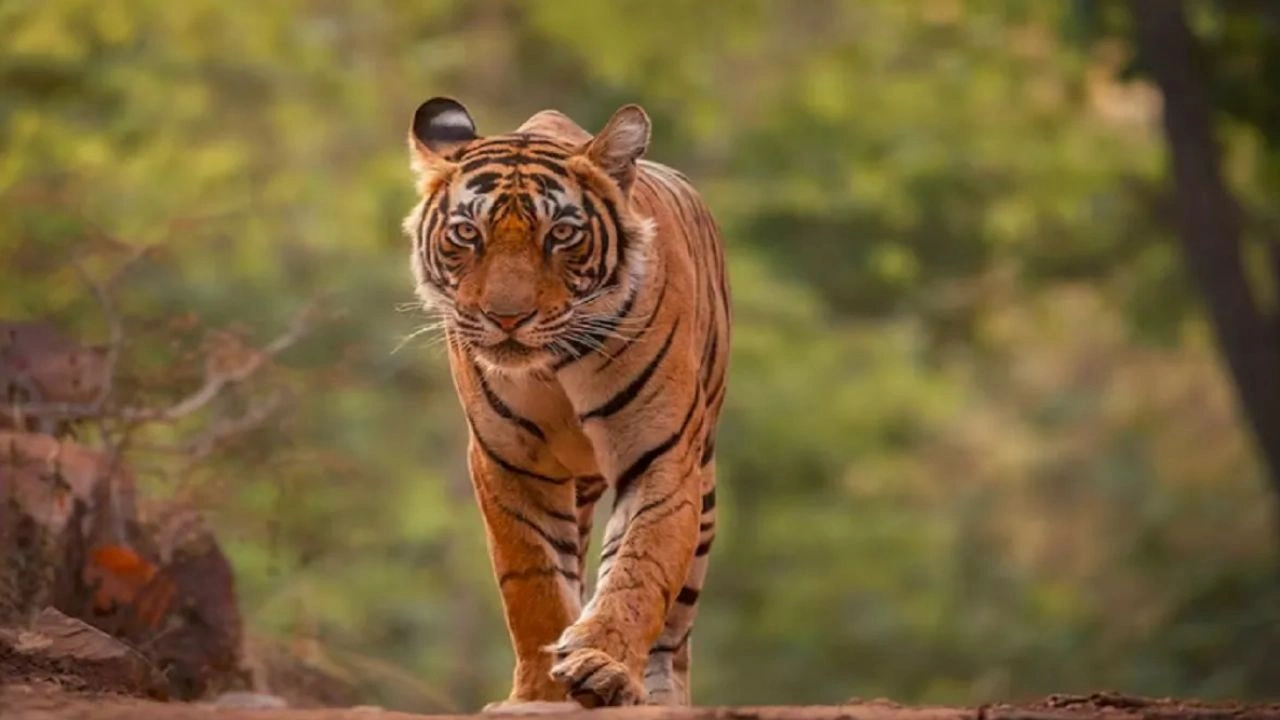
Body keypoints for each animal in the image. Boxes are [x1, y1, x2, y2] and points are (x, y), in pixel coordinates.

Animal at [402, 97, 730, 709]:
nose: (506, 318)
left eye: (561, 234)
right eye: (467, 233)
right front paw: (538, 692)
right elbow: (533, 582)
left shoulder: (662, 453)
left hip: (704, 487)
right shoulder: (508, 463)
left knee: (675, 630)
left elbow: (639, 566)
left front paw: (602, 666)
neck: (553, 364)